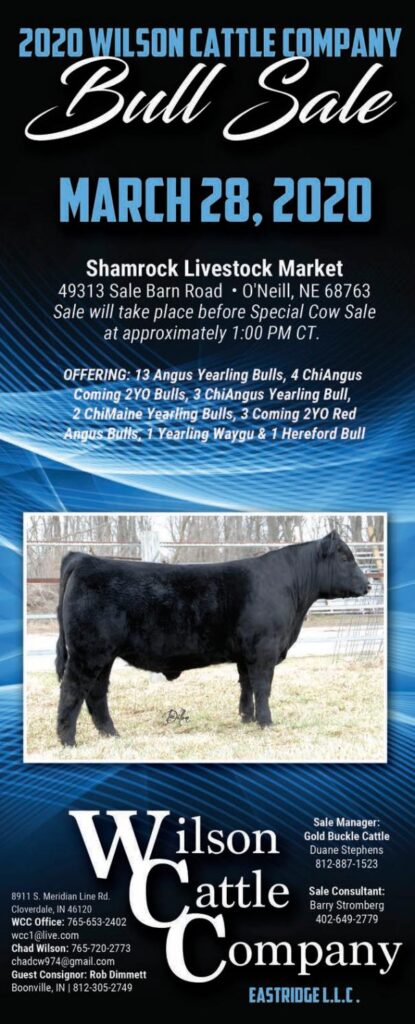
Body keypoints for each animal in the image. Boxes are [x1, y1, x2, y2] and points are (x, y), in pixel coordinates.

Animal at [55, 530, 370, 746]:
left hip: (103, 655)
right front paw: (266, 723)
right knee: (73, 690)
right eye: (345, 557)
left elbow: (246, 686)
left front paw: (246, 718)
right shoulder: (264, 650)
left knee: (96, 693)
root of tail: (83, 559)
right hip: (88, 652)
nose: (368, 585)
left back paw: (111, 734)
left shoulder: (246, 654)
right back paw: (68, 740)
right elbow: (263, 687)